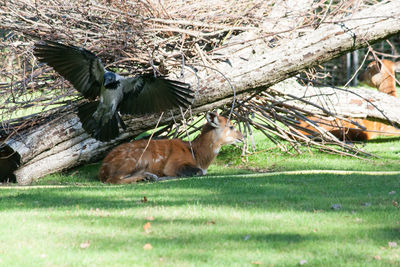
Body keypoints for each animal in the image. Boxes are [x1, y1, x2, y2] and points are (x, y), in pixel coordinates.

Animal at [99, 112, 244, 184]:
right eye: (231, 126)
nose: (242, 136)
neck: (196, 154)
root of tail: (103, 170)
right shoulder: (174, 163)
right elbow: (197, 172)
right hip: (138, 157)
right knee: (113, 179)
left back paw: (149, 176)